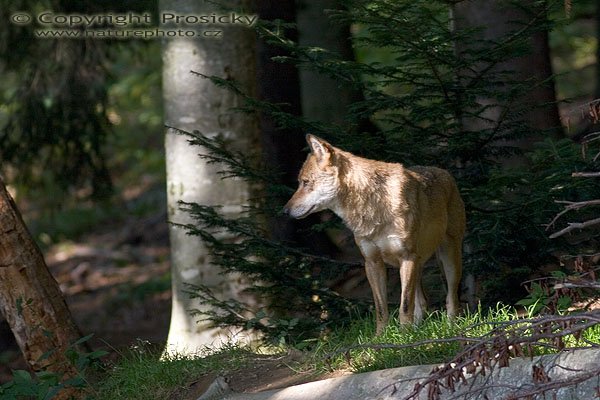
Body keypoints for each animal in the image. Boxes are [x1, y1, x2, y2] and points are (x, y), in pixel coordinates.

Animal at [284, 134, 466, 334]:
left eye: (305, 182)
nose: (285, 211)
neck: (373, 206)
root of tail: (444, 171)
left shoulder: (406, 257)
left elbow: (404, 306)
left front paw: (403, 337)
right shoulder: (372, 262)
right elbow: (380, 309)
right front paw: (381, 338)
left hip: (448, 259)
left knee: (451, 299)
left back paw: (449, 329)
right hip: (418, 264)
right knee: (422, 302)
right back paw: (417, 331)